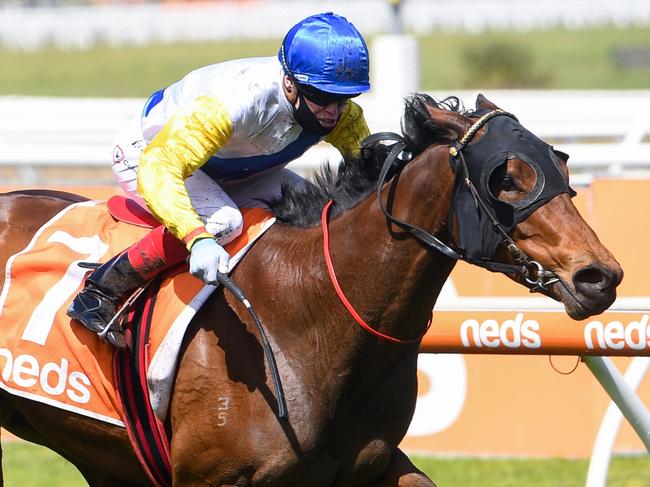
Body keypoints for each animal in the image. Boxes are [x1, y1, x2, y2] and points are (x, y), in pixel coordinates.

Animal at [0, 93, 620, 486]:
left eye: (561, 165)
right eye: (507, 179)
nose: (600, 276)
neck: (308, 316)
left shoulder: (368, 465)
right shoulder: (208, 477)